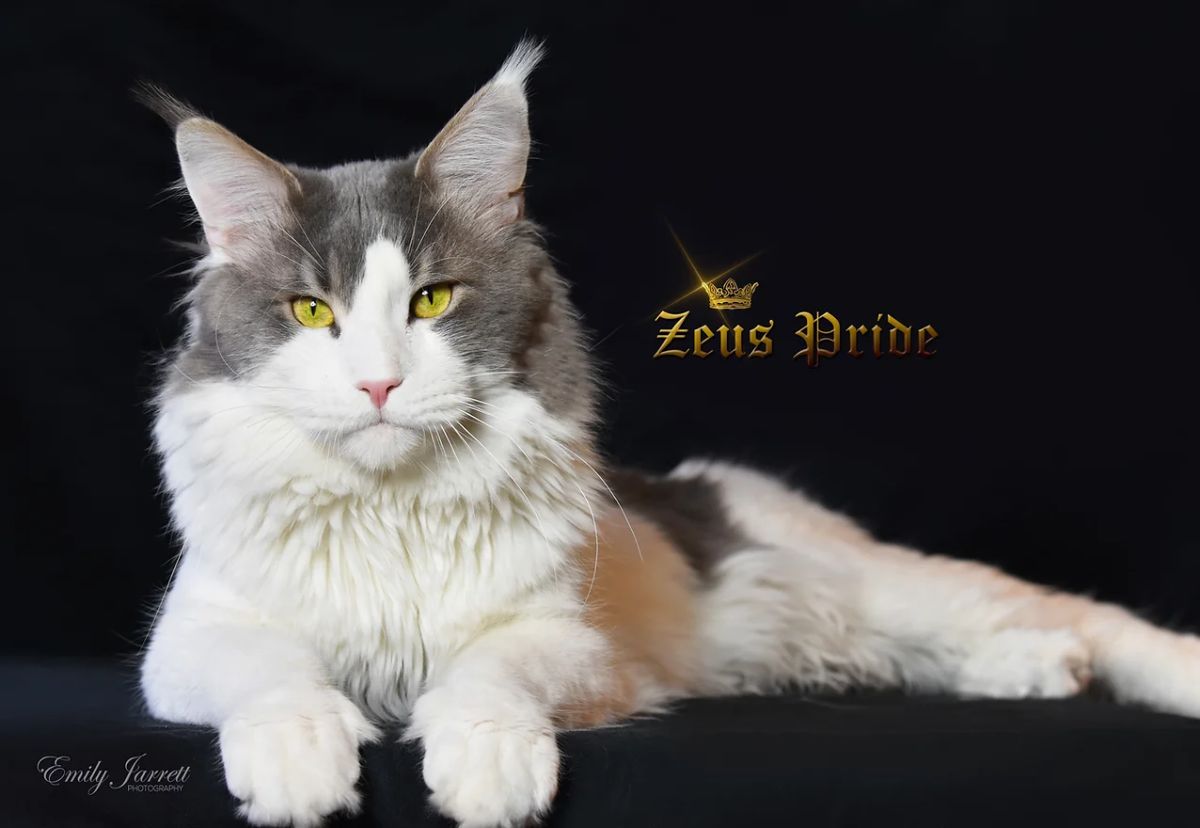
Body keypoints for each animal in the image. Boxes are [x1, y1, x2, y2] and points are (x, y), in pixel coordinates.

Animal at [138, 43, 1200, 825]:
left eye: (432, 301)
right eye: (312, 313)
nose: (378, 383)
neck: (391, 508)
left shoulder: (568, 641)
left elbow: (487, 677)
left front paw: (487, 769)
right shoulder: (194, 638)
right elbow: (275, 674)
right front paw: (297, 761)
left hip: (885, 578)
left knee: (1078, 619)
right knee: (929, 655)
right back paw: (1034, 674)